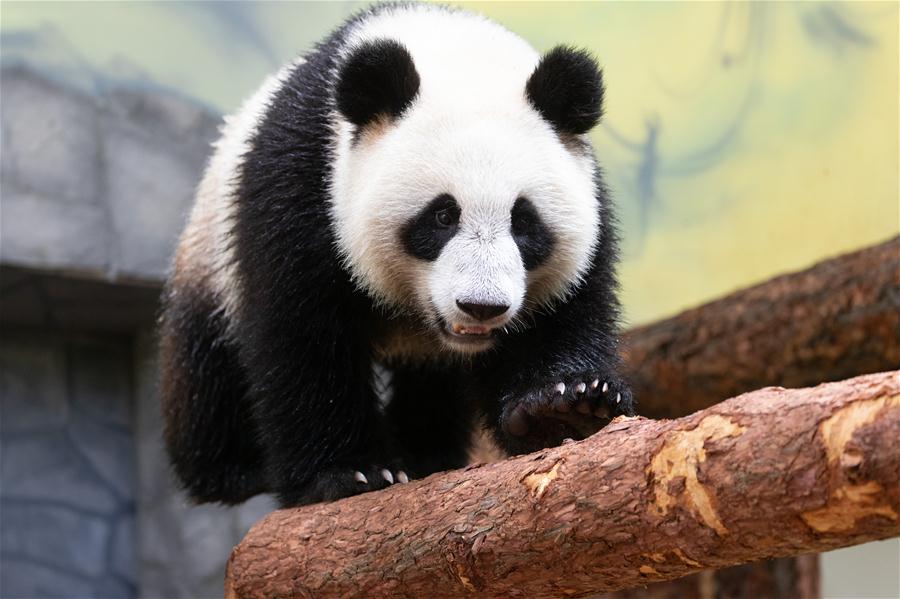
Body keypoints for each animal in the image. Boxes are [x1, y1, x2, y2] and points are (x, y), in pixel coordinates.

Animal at [160, 2, 632, 508]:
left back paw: (427, 454)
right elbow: (301, 333)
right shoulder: (302, 185)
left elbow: (564, 313)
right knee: (208, 368)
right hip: (209, 253)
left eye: (523, 221)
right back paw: (234, 473)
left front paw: (568, 405)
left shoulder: (586, 203)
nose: (482, 306)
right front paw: (347, 473)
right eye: (442, 216)